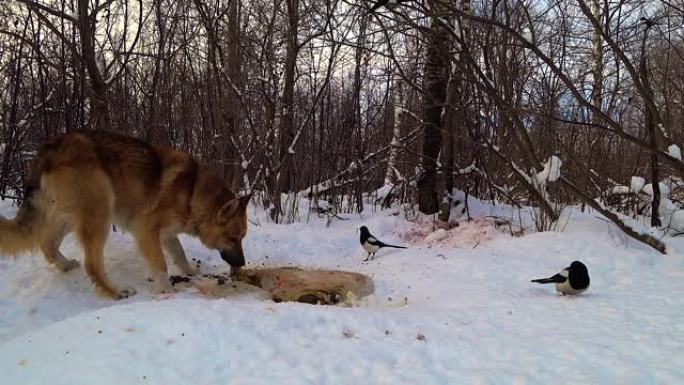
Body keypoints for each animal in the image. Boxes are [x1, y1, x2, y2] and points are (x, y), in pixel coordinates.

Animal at [0, 130, 250, 298]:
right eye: (233, 238)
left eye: (242, 238)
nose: (242, 263)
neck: (192, 193)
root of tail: (49, 150)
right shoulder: (146, 230)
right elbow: (161, 265)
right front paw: (166, 290)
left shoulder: (167, 234)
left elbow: (180, 255)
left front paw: (190, 273)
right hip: (100, 213)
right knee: (92, 265)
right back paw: (117, 291)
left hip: (68, 217)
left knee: (48, 245)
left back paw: (66, 265)